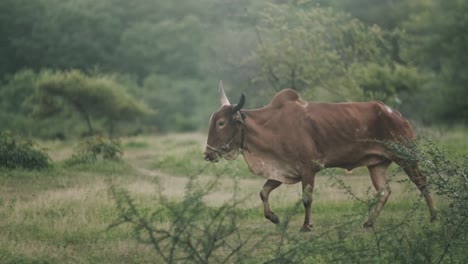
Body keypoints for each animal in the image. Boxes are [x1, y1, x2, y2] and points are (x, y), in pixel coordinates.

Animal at [203, 82, 436, 231]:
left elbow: (307, 198)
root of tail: (397, 114)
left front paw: (306, 225)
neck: (272, 126)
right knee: (384, 191)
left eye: (221, 123)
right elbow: (263, 192)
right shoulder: (283, 170)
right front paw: (273, 217)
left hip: (405, 157)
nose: (207, 154)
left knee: (421, 181)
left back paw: (434, 216)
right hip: (377, 164)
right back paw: (369, 222)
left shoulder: (308, 169)